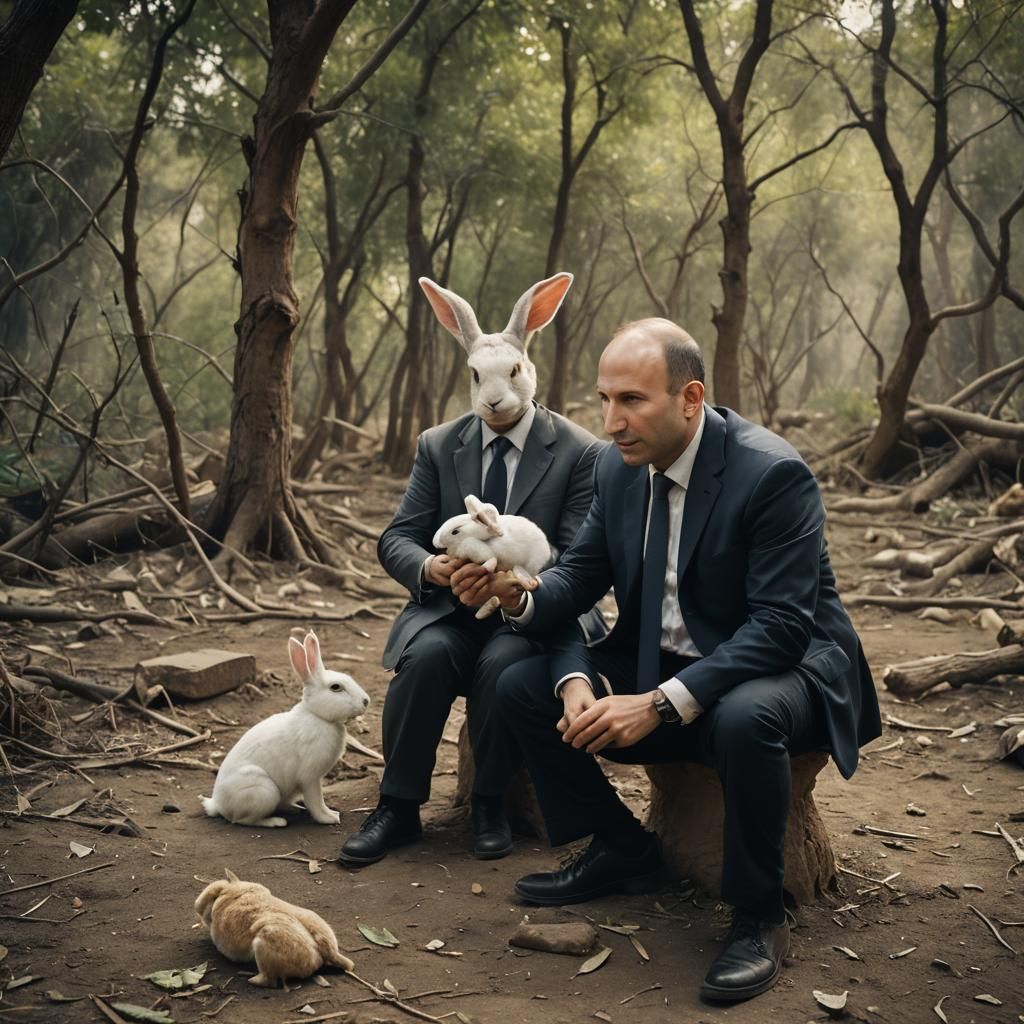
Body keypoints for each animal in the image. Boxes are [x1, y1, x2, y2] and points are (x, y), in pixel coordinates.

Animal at [195, 868, 356, 987]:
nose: (197, 908)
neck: (231, 891)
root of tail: (330, 953)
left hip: (262, 944)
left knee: (270, 981)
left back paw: (251, 980)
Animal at [196, 626, 368, 827]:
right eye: (336, 687)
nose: (366, 701)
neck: (316, 715)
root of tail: (217, 804)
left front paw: (331, 814)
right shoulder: (310, 778)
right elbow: (316, 801)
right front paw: (329, 818)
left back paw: (294, 808)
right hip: (264, 790)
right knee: (243, 820)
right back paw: (276, 822)